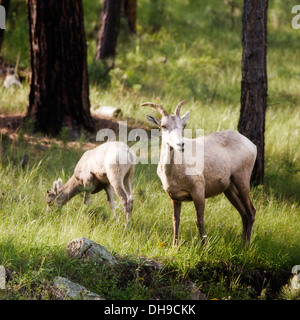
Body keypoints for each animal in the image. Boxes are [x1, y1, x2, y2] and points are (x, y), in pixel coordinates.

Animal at [142, 100, 256, 245]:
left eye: (183, 125)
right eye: (163, 126)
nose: (181, 145)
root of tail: (251, 145)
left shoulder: (198, 193)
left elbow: (199, 221)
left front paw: (203, 247)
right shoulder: (175, 197)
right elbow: (176, 221)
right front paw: (175, 245)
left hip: (242, 180)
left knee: (251, 212)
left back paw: (247, 246)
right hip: (229, 189)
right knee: (244, 213)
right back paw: (242, 243)